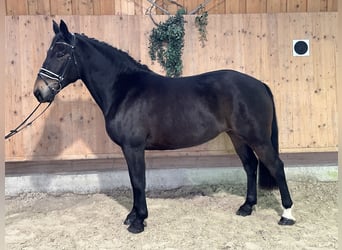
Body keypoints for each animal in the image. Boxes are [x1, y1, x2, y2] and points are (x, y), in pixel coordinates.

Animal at [33, 20, 294, 233]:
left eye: (61, 52)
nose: (39, 91)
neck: (124, 89)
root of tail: (259, 84)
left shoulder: (134, 147)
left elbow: (138, 181)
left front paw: (139, 221)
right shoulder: (130, 149)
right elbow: (134, 181)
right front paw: (132, 216)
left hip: (257, 138)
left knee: (276, 166)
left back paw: (287, 215)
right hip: (237, 136)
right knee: (250, 166)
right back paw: (247, 207)